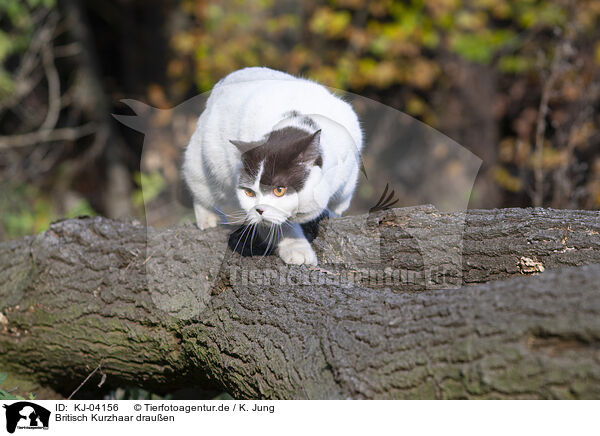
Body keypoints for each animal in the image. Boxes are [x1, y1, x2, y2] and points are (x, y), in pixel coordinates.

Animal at [182, 67, 360, 266]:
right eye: (249, 193)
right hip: (206, 165)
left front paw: (328, 215)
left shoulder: (348, 177)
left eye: (279, 190)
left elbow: (339, 205)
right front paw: (297, 249)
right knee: (201, 191)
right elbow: (281, 227)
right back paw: (209, 219)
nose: (259, 209)